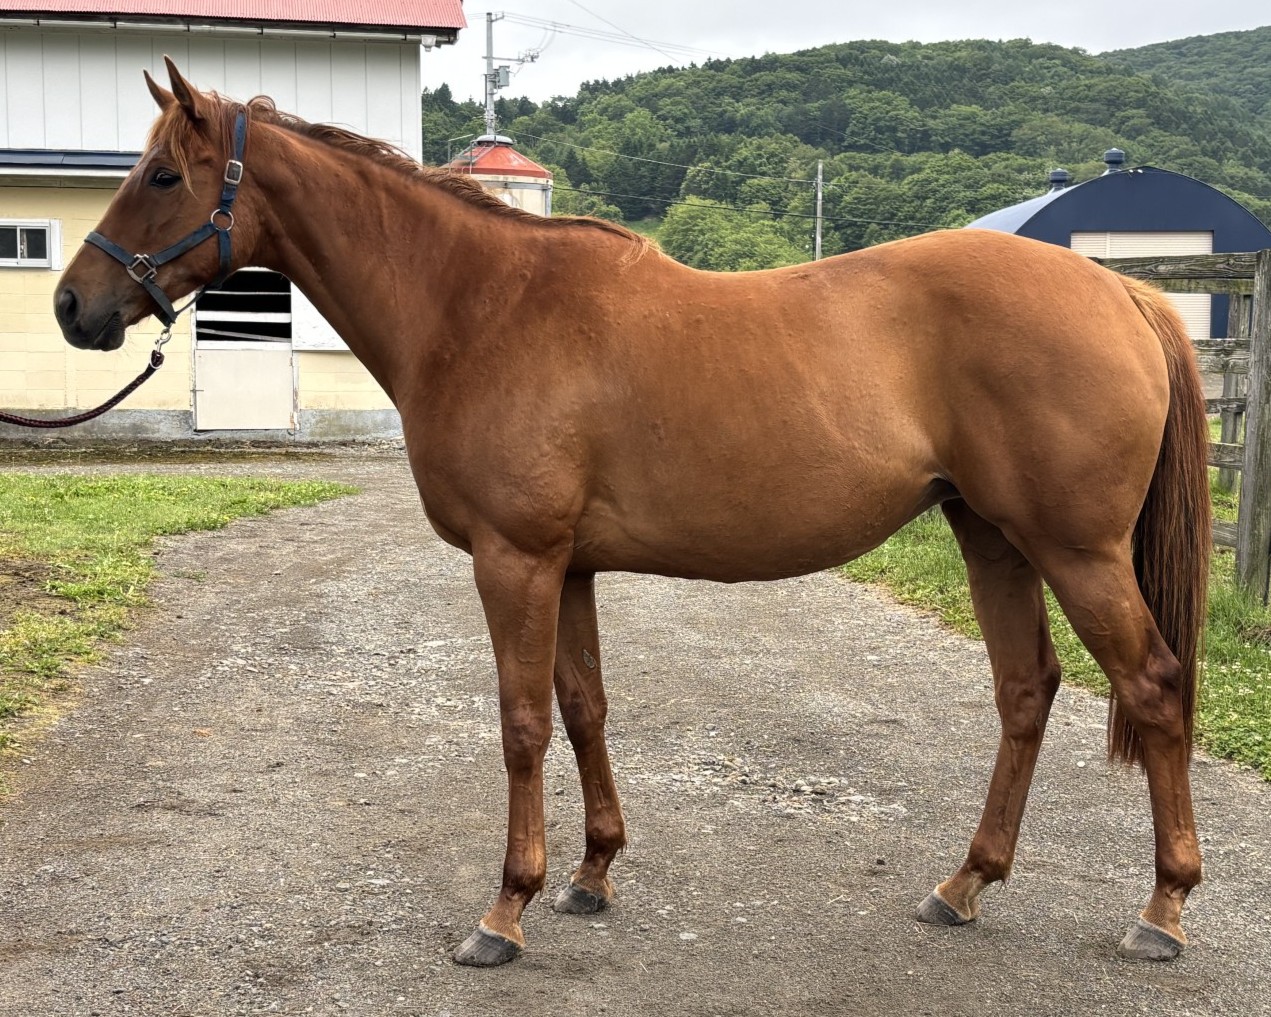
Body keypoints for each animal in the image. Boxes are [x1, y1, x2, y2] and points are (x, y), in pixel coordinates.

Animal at [53, 60, 1211, 968]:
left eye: (163, 175)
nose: (72, 306)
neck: (482, 306)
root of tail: (1122, 293)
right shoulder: (566, 565)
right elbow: (582, 707)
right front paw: (591, 873)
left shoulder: (513, 559)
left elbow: (521, 722)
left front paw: (504, 911)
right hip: (991, 538)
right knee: (1025, 692)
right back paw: (963, 885)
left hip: (1074, 549)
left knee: (1152, 687)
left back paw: (1160, 910)